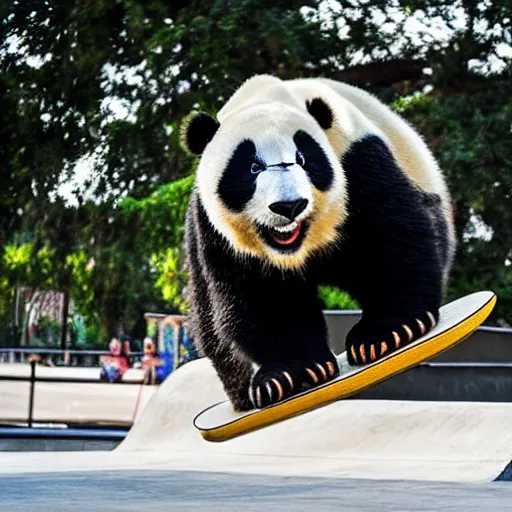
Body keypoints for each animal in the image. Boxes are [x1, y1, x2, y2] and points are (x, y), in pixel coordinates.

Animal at [181, 74, 456, 412]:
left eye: (302, 160)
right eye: (253, 168)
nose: (289, 206)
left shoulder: (355, 158)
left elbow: (390, 239)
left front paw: (385, 335)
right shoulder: (214, 229)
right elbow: (259, 295)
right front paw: (290, 374)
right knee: (211, 328)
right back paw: (242, 397)